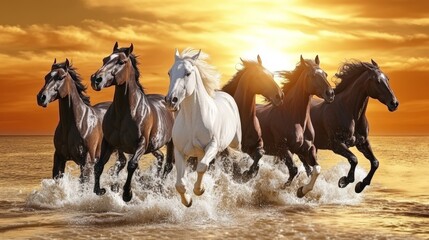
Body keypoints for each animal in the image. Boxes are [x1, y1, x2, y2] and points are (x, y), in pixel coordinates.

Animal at [89, 42, 175, 202]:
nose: (96, 79)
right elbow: (99, 166)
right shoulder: (109, 143)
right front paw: (100, 190)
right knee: (161, 159)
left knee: (168, 166)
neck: (125, 113)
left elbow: (132, 165)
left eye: (121, 62)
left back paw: (159, 189)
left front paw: (127, 194)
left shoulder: (141, 144)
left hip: (171, 143)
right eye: (105, 59)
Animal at [166, 48, 242, 206]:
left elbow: (202, 167)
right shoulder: (180, 152)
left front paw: (199, 190)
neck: (192, 121)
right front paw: (188, 201)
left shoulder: (212, 146)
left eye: (188, 73)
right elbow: (180, 184)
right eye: (169, 73)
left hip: (236, 142)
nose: (171, 100)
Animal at [254, 55, 334, 197]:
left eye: (325, 74)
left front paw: (302, 190)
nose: (330, 93)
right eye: (312, 75)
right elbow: (294, 170)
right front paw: (281, 189)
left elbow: (316, 169)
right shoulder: (283, 148)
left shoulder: (308, 148)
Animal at [298, 59, 398, 193]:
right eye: (377, 81)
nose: (394, 103)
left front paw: (360, 185)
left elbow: (375, 162)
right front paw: (344, 181)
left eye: (387, 78)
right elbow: (354, 159)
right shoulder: (337, 145)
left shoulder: (362, 143)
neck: (350, 112)